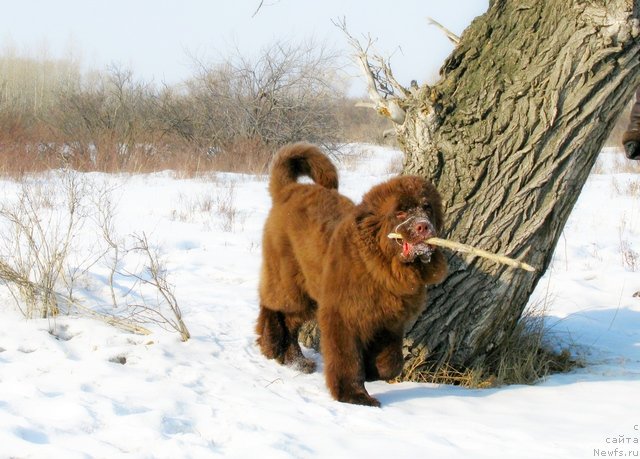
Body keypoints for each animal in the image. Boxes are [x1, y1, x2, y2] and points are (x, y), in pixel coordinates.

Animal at [255, 143, 444, 406]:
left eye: (427, 208)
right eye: (400, 212)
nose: (424, 226)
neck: (380, 265)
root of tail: (289, 189)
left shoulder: (390, 321)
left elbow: (392, 363)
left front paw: (374, 371)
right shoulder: (343, 314)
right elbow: (347, 359)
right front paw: (354, 396)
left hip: (310, 291)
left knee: (291, 321)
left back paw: (296, 361)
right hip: (288, 279)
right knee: (273, 306)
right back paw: (271, 344)